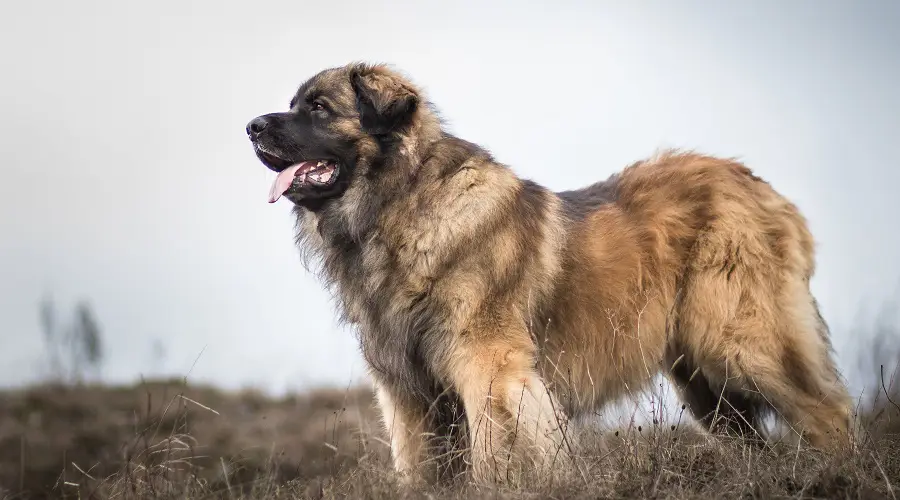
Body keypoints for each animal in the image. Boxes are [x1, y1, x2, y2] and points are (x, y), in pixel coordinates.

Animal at [244, 61, 852, 484]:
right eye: (295, 104)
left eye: (319, 107)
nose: (251, 126)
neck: (400, 204)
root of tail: (757, 183)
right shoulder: (409, 393)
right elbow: (419, 471)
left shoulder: (490, 370)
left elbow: (495, 458)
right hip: (705, 383)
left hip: (742, 342)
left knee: (829, 413)